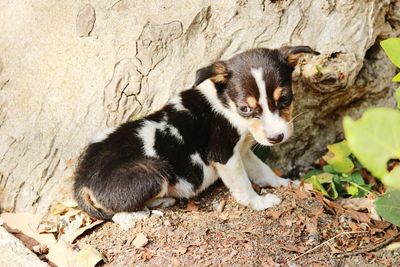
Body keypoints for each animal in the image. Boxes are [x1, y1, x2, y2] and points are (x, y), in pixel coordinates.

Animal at [74, 47, 318, 221]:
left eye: (284, 98)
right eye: (246, 109)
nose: (277, 138)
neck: (226, 103)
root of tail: (82, 179)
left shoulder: (242, 150)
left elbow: (262, 170)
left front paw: (285, 183)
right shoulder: (224, 155)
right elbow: (243, 186)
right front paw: (260, 203)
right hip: (154, 170)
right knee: (119, 214)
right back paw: (149, 209)